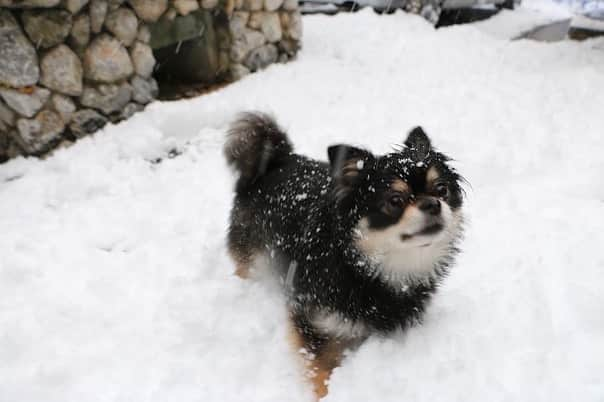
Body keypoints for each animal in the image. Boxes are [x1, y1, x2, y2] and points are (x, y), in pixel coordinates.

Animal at [224, 111, 464, 398]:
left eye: (441, 189)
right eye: (395, 200)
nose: (433, 204)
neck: (364, 267)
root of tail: (277, 159)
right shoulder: (313, 322)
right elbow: (321, 372)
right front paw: (326, 394)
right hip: (255, 258)